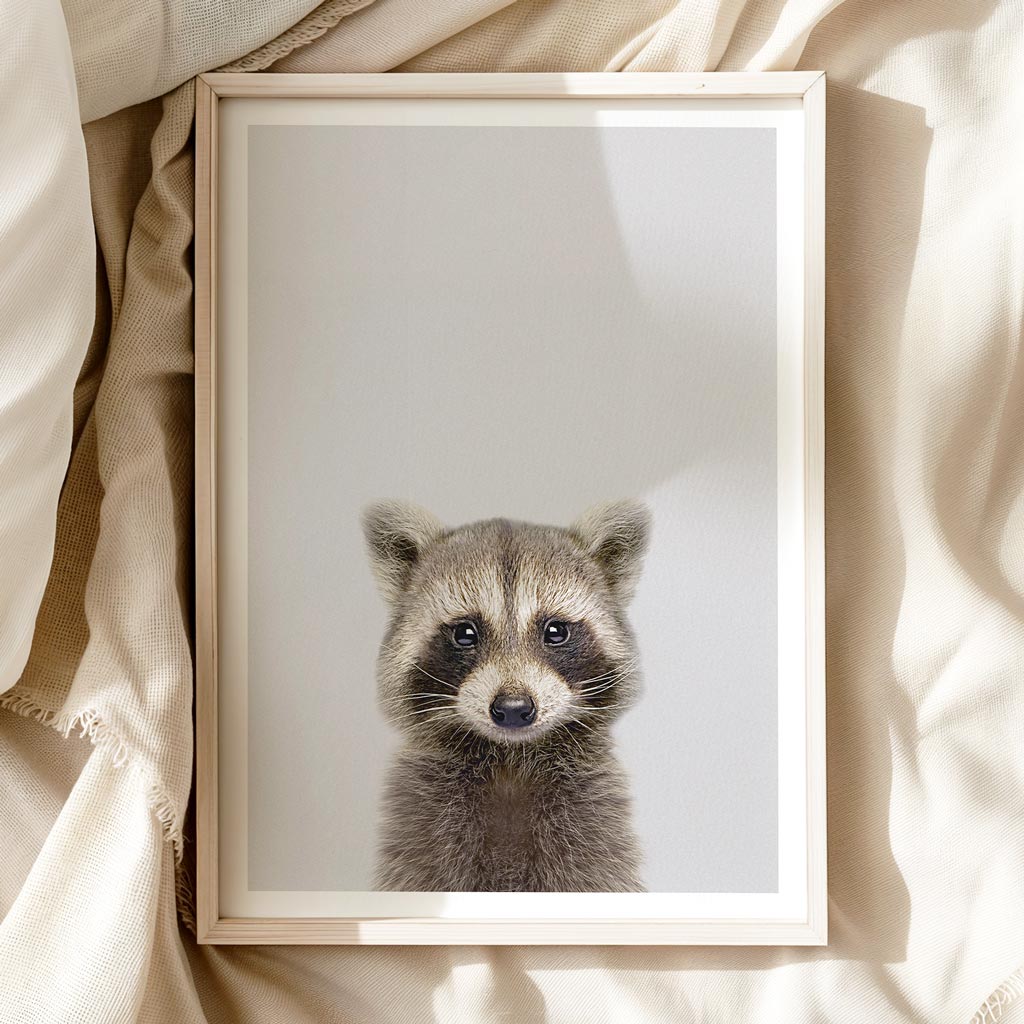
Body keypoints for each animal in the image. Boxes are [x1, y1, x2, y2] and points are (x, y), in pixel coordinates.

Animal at [362, 499, 650, 893]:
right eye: (465, 633)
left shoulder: (592, 823)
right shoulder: (423, 826)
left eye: (555, 631)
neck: (510, 760)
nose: (513, 709)